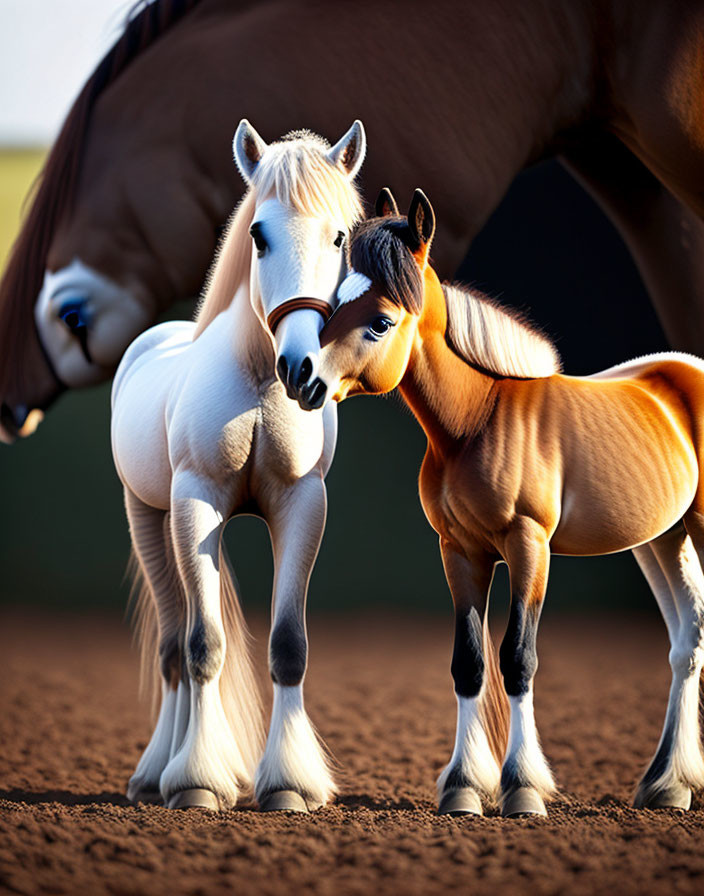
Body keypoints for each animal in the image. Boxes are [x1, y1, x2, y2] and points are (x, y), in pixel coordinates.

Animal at [113, 119, 366, 812]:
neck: (257, 383)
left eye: (340, 235)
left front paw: (287, 786)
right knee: (175, 644)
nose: (301, 370)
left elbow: (288, 645)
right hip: (151, 519)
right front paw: (197, 782)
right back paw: (157, 774)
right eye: (259, 234)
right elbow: (203, 646)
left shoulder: (304, 505)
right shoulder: (196, 503)